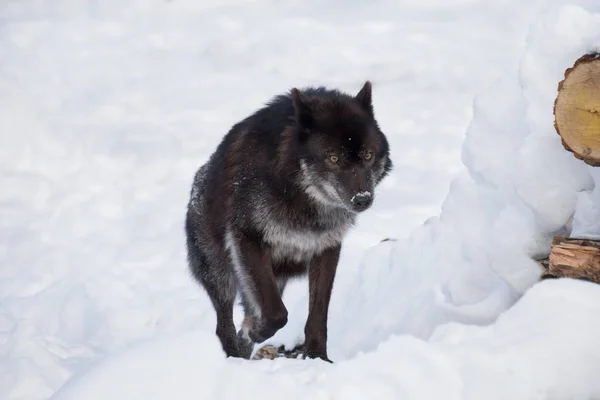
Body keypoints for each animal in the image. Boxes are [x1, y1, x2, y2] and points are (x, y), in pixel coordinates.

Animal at [188, 79, 394, 360]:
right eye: (333, 158)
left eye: (368, 155)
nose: (362, 199)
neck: (303, 200)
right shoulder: (247, 238)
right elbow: (277, 314)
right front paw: (257, 332)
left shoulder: (326, 248)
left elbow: (317, 315)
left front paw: (318, 357)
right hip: (221, 273)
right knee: (225, 325)